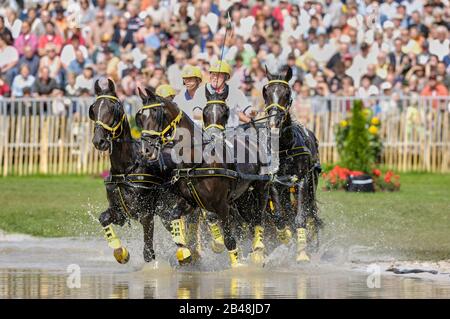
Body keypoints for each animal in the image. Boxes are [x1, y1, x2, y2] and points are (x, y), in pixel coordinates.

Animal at [89, 79, 172, 264]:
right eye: (93, 109)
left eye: (113, 108)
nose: (99, 141)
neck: (126, 169)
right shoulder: (118, 211)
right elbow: (103, 218)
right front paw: (121, 252)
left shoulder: (147, 215)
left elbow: (148, 253)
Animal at [135, 87, 262, 268]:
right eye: (140, 117)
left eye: (156, 113)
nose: (146, 150)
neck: (198, 160)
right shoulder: (190, 202)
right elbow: (174, 217)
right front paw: (184, 251)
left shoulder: (222, 205)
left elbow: (229, 240)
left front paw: (237, 265)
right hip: (239, 200)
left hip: (256, 192)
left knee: (257, 219)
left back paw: (258, 250)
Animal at [264, 67, 324, 262]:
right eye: (266, 92)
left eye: (287, 93)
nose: (273, 122)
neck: (284, 147)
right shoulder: (275, 184)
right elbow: (279, 217)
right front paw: (287, 240)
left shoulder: (302, 181)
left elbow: (300, 218)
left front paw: (302, 254)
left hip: (312, 185)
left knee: (311, 212)